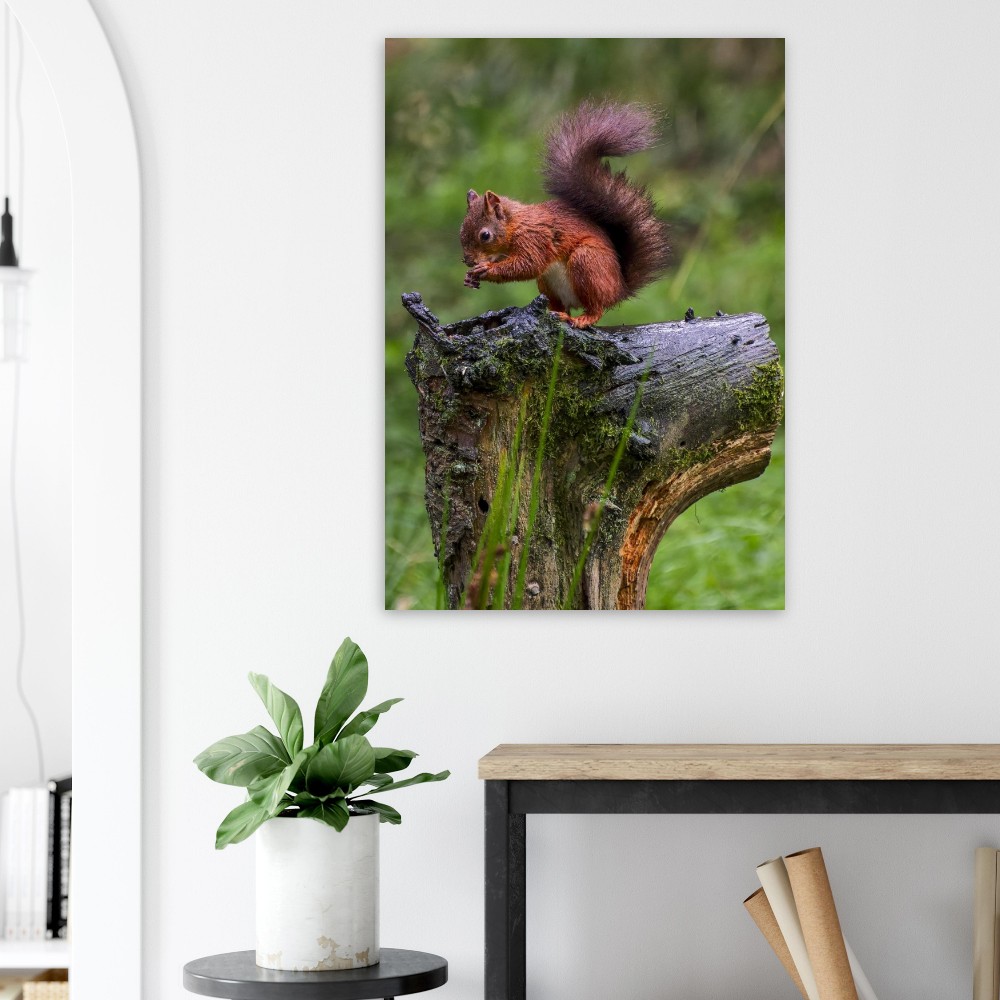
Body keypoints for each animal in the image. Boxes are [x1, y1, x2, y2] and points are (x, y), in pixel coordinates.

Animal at [460, 100, 669, 328]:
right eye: (461, 230)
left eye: (485, 235)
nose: (468, 261)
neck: (515, 225)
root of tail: (619, 289)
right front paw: (470, 277)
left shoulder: (535, 238)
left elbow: (528, 264)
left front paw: (486, 269)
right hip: (547, 283)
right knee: (560, 304)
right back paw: (555, 312)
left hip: (587, 263)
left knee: (596, 307)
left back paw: (581, 318)